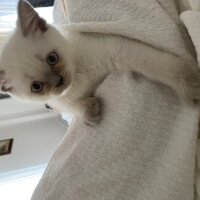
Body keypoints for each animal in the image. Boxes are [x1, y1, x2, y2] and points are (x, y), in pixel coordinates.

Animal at [0, 0, 200, 125]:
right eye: (37, 87)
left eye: (52, 58)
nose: (59, 82)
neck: (79, 79)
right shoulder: (56, 100)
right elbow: (69, 106)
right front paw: (88, 112)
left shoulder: (116, 50)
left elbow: (158, 64)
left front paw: (191, 84)